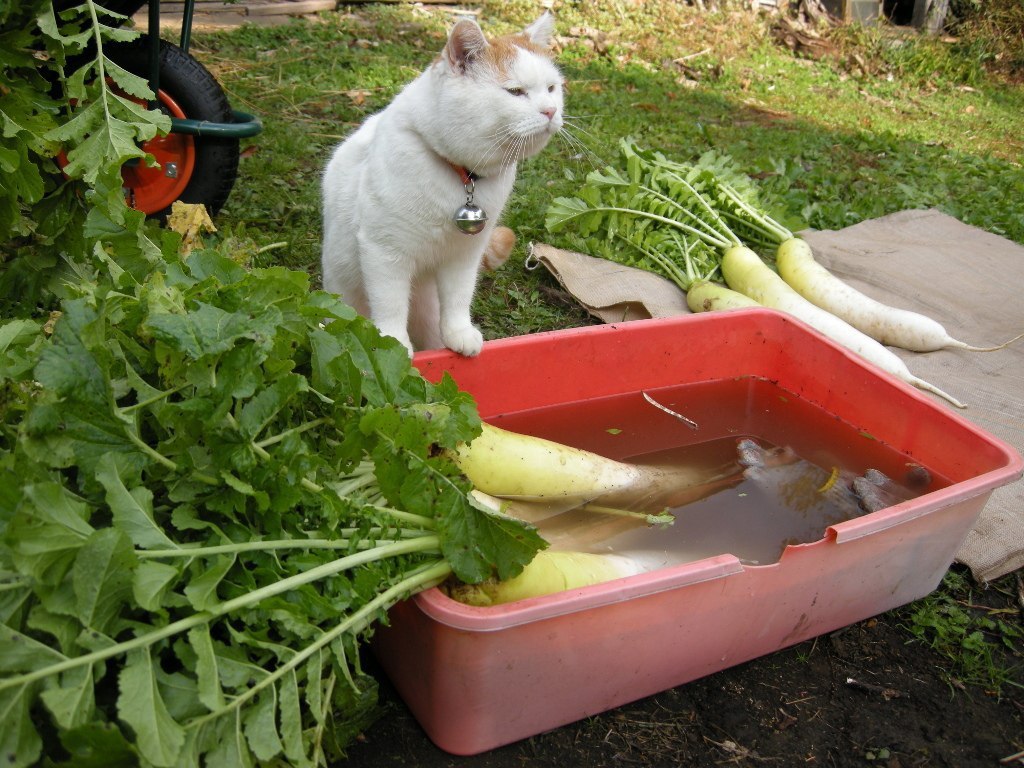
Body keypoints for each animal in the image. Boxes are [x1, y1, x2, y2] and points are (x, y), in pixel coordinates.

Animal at [319, 11, 565, 358]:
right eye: (515, 92)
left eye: (552, 88)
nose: (551, 110)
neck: (463, 178)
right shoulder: (384, 252)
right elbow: (390, 305)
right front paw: (394, 344)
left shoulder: (464, 255)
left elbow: (459, 297)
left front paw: (459, 332)